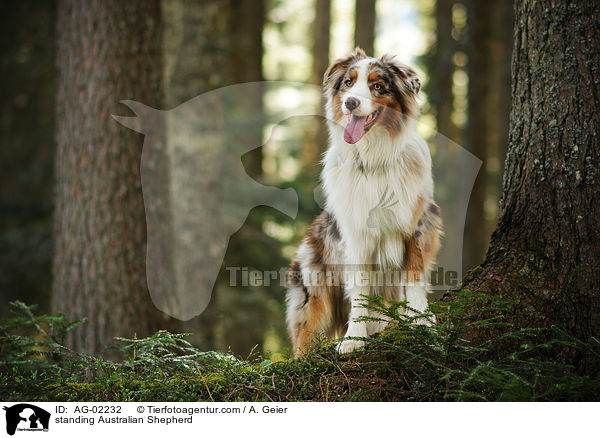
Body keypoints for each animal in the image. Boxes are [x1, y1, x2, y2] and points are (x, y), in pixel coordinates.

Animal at [286, 48, 440, 356]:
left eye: (377, 86)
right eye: (348, 83)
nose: (350, 102)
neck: (373, 158)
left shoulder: (419, 223)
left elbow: (415, 277)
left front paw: (421, 322)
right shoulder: (355, 235)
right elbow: (359, 289)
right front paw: (354, 338)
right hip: (315, 297)